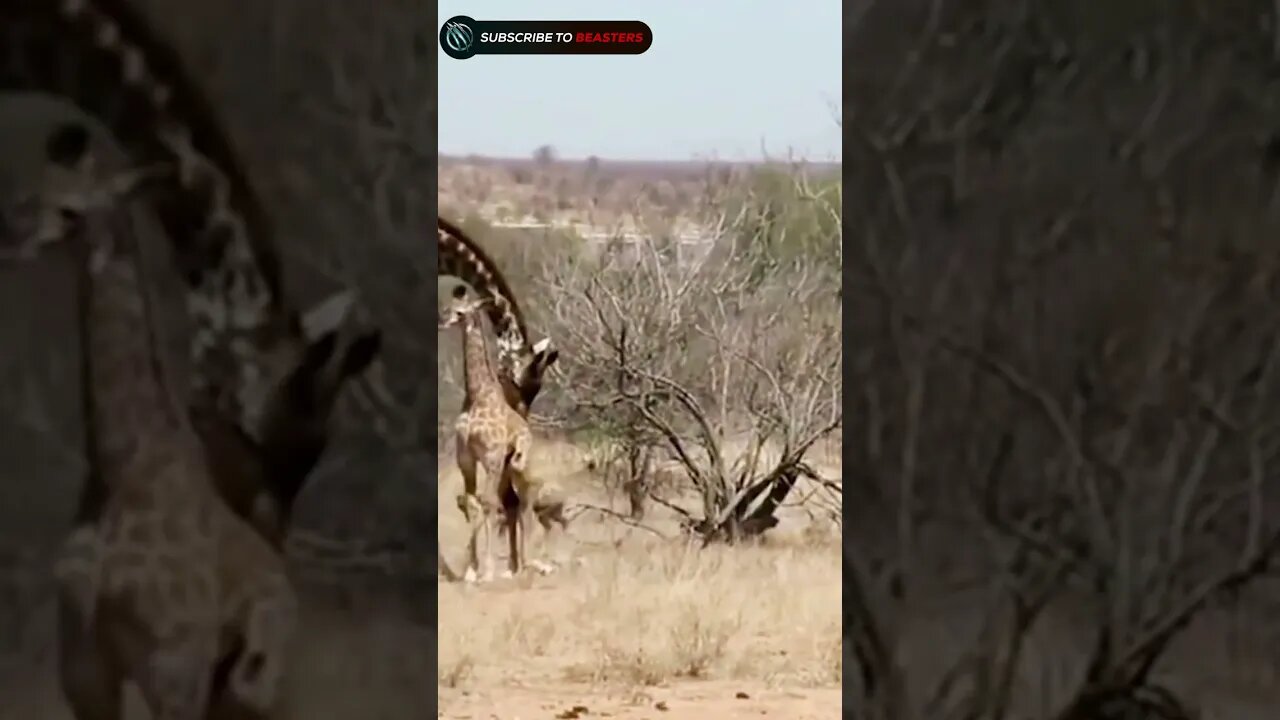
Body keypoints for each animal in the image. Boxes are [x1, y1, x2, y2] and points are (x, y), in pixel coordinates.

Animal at [3, 121, 296, 717]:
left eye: (71, 212)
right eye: (27, 188)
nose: (8, 239)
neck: (122, 461)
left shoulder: (173, 666)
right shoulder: (85, 666)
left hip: (252, 689)